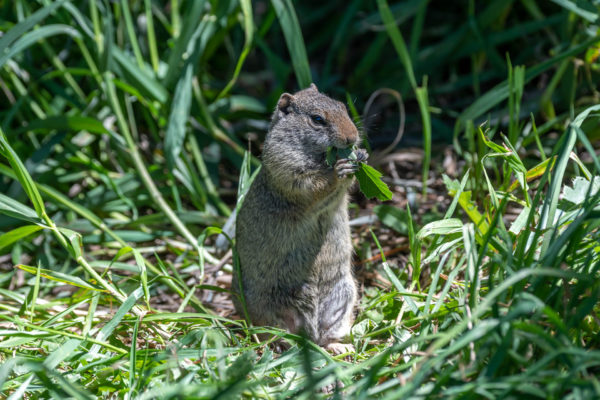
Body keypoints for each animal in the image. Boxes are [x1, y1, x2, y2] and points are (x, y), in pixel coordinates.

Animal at [233, 84, 366, 354]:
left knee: (327, 335)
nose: (351, 137)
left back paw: (338, 347)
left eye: (343, 107)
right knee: (274, 333)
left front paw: (362, 155)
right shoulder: (287, 169)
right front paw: (340, 168)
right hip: (266, 309)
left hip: (344, 295)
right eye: (317, 119)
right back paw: (283, 345)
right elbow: (314, 186)